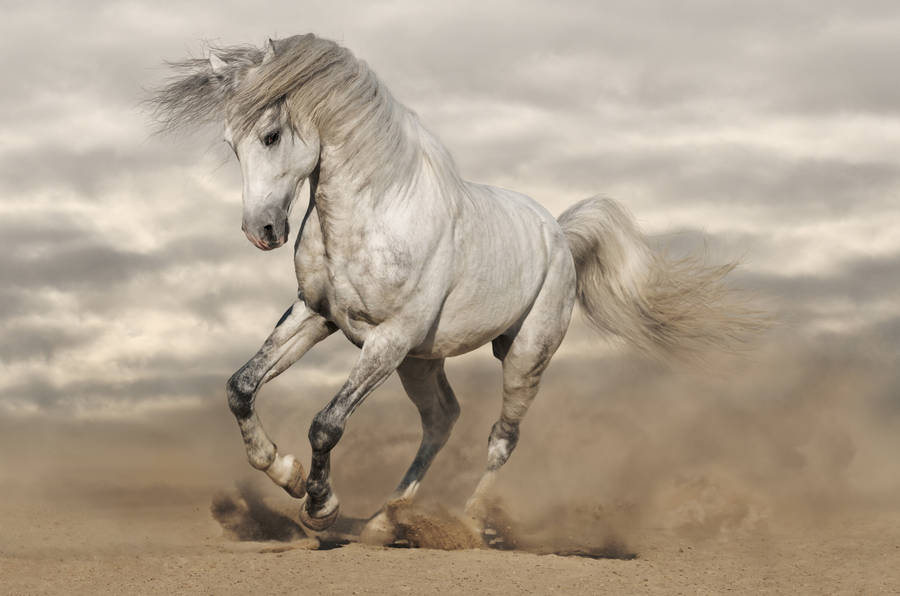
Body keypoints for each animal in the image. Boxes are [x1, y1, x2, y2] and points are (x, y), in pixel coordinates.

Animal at [150, 34, 762, 543]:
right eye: (230, 143)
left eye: (272, 135)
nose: (262, 231)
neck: (373, 215)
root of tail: (559, 235)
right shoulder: (316, 316)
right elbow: (241, 386)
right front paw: (285, 472)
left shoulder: (388, 339)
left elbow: (326, 423)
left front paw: (319, 505)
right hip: (421, 363)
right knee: (442, 419)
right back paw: (385, 522)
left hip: (522, 356)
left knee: (501, 437)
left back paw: (466, 523)